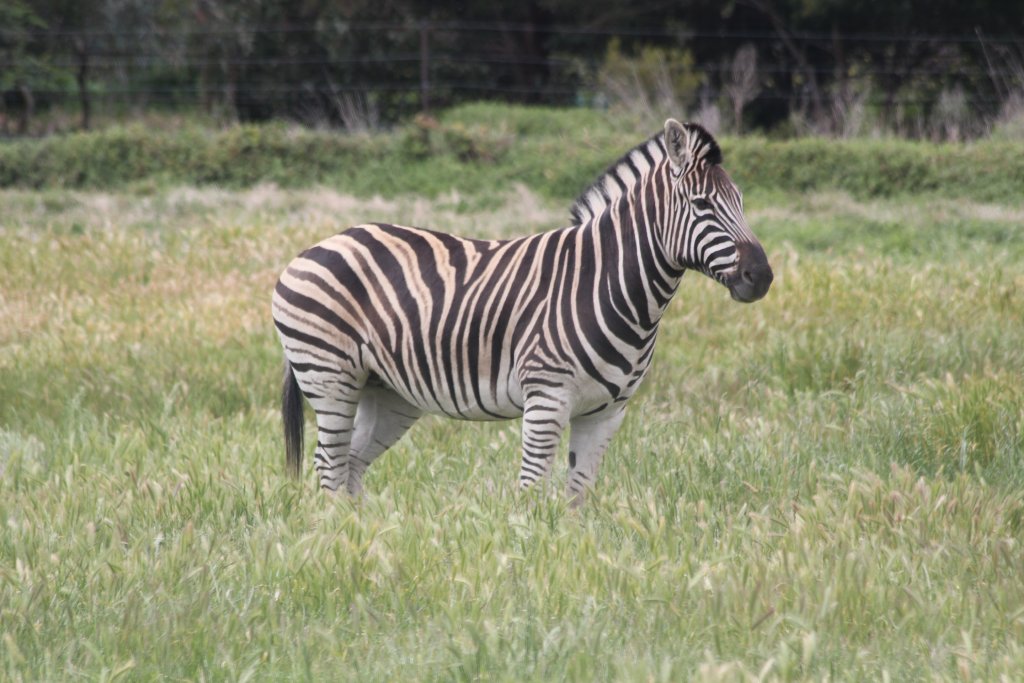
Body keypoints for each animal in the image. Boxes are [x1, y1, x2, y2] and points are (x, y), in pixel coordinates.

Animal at [272, 118, 772, 505]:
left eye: (743, 203)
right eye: (701, 204)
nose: (761, 276)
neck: (606, 283)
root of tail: (321, 244)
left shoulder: (607, 412)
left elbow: (578, 496)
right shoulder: (547, 398)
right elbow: (531, 491)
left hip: (387, 392)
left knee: (351, 465)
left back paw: (364, 536)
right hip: (330, 376)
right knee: (329, 464)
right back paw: (339, 540)